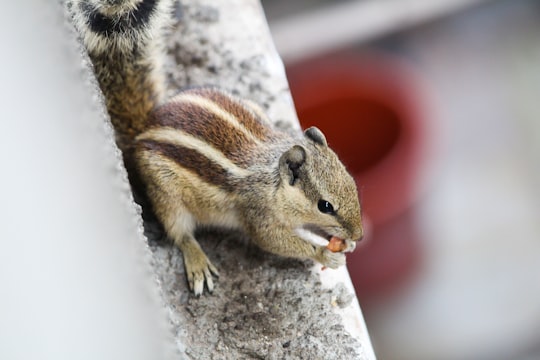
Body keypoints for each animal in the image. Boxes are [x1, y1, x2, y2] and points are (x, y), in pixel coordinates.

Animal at [67, 0, 362, 296]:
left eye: (351, 183)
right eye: (325, 205)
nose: (359, 234)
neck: (273, 181)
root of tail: (143, 129)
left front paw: (345, 243)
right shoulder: (258, 215)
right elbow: (273, 240)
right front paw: (324, 253)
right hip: (166, 194)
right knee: (179, 232)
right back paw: (197, 261)